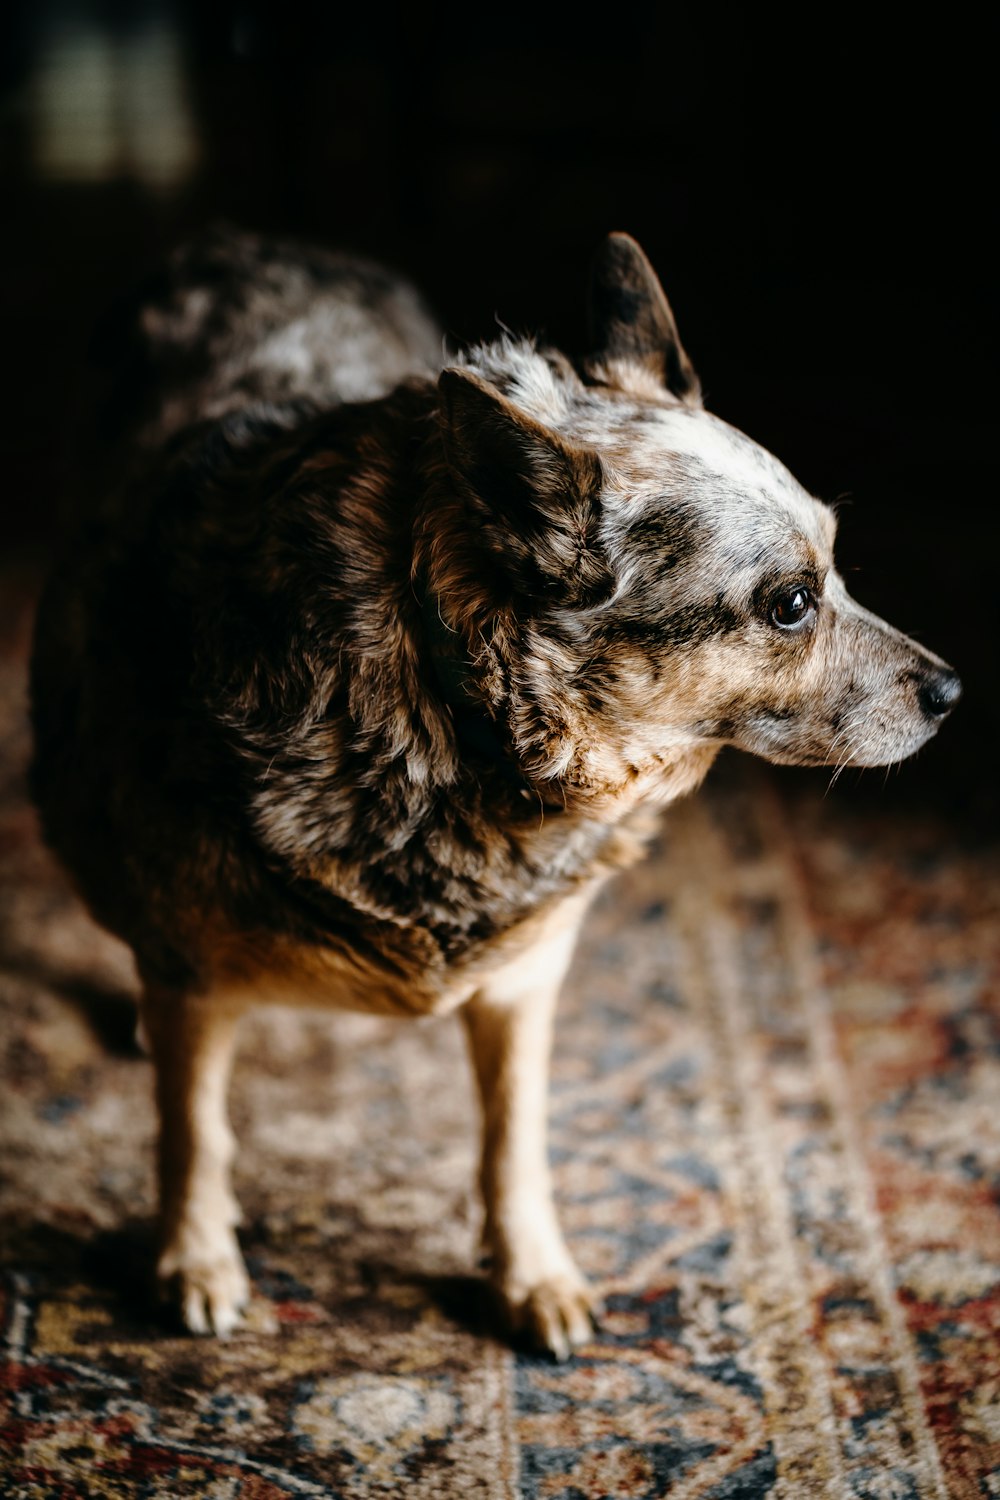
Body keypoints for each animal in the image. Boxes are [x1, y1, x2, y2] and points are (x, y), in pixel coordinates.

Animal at [27, 225, 959, 1362]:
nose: (953, 692)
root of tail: (246, 237)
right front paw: (195, 1259)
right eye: (791, 604)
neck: (442, 709)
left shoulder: (525, 978)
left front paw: (532, 1275)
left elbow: (513, 1139)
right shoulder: (200, 983)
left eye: (836, 562)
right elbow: (192, 1129)